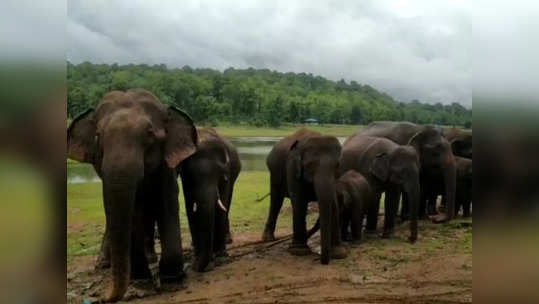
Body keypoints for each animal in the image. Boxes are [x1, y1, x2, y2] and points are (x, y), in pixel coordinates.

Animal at [65, 88, 196, 302]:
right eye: (98, 136)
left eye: (150, 134)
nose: (104, 298)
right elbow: (133, 211)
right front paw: (140, 277)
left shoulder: (166, 165)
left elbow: (166, 202)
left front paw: (171, 276)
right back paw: (106, 265)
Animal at [177, 127, 240, 272]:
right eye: (191, 175)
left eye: (218, 174)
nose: (193, 267)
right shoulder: (185, 179)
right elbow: (190, 208)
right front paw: (198, 256)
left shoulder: (227, 172)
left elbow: (222, 203)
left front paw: (221, 255)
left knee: (227, 202)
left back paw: (226, 241)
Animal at [262, 129, 346, 264]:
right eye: (309, 166)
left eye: (337, 165)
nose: (323, 261)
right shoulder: (292, 168)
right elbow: (299, 202)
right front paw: (298, 251)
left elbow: (333, 203)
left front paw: (339, 253)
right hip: (274, 172)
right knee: (276, 201)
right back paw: (268, 239)